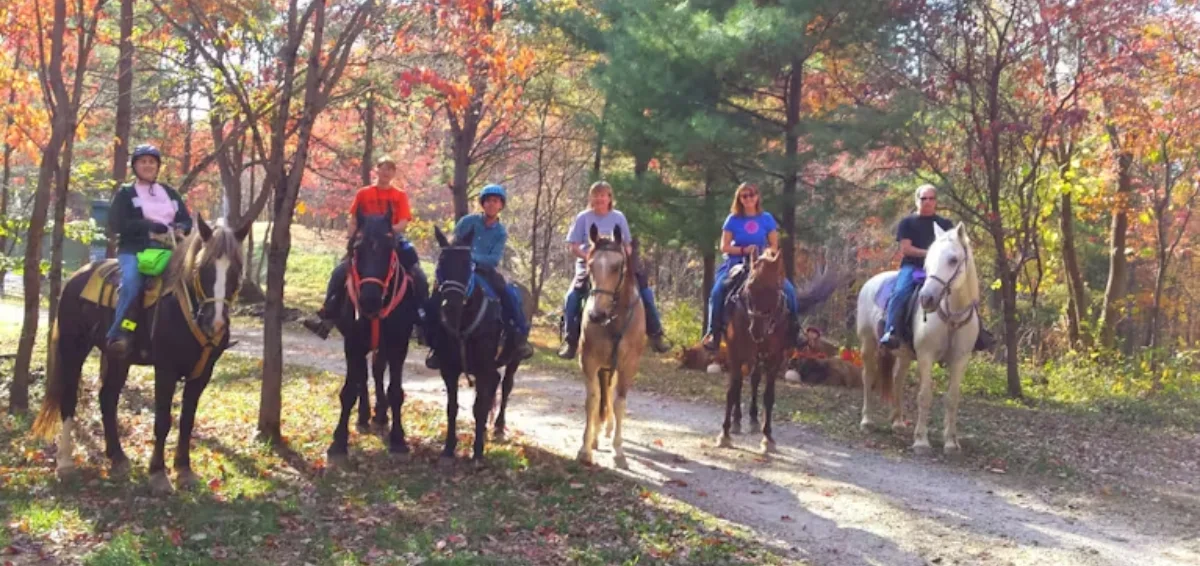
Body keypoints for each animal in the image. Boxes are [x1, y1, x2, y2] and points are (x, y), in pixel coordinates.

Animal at [34, 214, 248, 494]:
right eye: (204, 268)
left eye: (236, 270)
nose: (216, 323)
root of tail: (78, 276)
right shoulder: (166, 369)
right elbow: (163, 421)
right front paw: (158, 473)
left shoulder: (202, 374)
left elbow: (187, 421)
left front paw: (184, 470)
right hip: (73, 349)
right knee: (69, 400)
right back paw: (65, 464)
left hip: (117, 358)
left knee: (107, 398)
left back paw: (117, 457)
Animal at [326, 207, 424, 465]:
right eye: (356, 248)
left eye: (390, 247)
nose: (369, 300)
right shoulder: (352, 343)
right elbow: (349, 390)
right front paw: (338, 442)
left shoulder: (399, 345)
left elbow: (396, 391)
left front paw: (398, 439)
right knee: (363, 374)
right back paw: (364, 415)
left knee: (378, 370)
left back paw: (380, 413)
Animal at [715, 249, 840, 453]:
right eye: (749, 287)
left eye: (775, 289)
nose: (757, 330)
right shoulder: (734, 351)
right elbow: (732, 391)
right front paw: (724, 435)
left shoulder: (775, 357)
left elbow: (768, 396)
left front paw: (768, 438)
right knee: (741, 382)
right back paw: (736, 422)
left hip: (758, 356)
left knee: (755, 380)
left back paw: (753, 420)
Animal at [859, 219, 979, 455]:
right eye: (928, 261)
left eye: (953, 259)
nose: (926, 299)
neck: (951, 316)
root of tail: (872, 281)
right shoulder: (926, 356)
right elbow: (924, 396)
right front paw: (921, 441)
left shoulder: (960, 360)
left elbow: (952, 399)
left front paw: (951, 443)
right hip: (868, 343)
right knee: (868, 377)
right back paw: (867, 421)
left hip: (904, 354)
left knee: (897, 380)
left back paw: (897, 422)